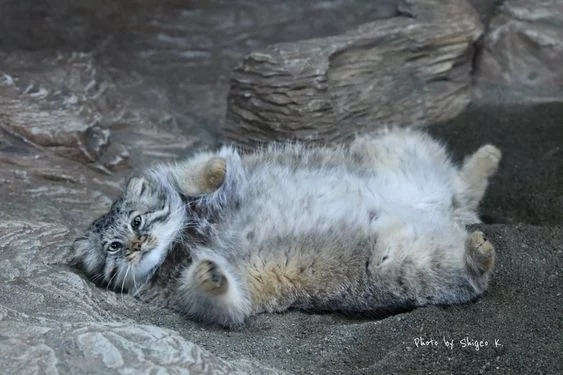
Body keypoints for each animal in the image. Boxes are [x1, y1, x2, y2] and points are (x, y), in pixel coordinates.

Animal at [74, 129, 502, 326]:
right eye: (113, 247)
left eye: (136, 220)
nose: (138, 245)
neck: (183, 241)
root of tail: (443, 210)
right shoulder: (194, 297)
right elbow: (221, 297)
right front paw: (209, 272)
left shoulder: (191, 176)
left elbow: (191, 173)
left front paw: (212, 172)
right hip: (412, 264)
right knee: (471, 254)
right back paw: (478, 250)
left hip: (399, 148)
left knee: (462, 184)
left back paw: (488, 156)